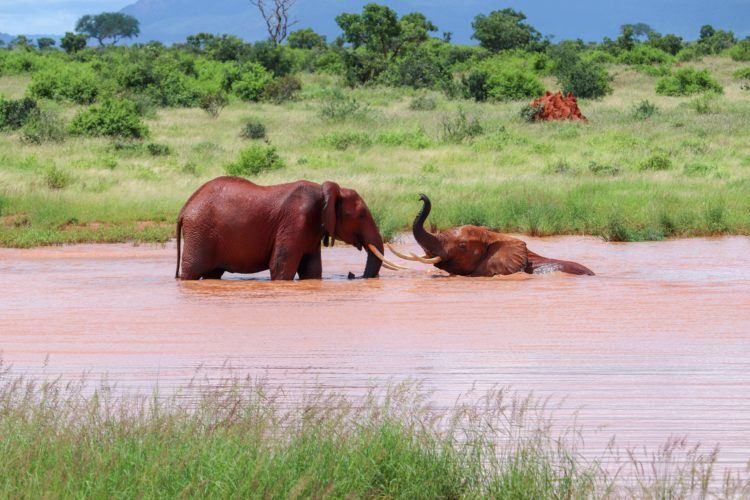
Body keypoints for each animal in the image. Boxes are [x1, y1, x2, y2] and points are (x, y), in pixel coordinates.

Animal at [176, 178, 406, 282]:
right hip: (200, 234)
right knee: (192, 271)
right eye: (360, 216)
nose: (352, 275)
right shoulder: (296, 220)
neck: (324, 191)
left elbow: (312, 271)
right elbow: (280, 267)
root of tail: (185, 208)